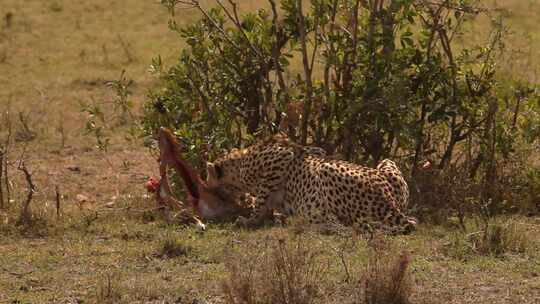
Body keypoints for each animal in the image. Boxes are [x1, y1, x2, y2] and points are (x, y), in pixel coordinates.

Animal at [207, 136, 418, 235]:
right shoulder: (316, 150)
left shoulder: (281, 157)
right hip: (387, 162)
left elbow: (260, 199)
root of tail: (389, 200)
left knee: (343, 225)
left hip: (326, 168)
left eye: (212, 190)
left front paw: (249, 220)